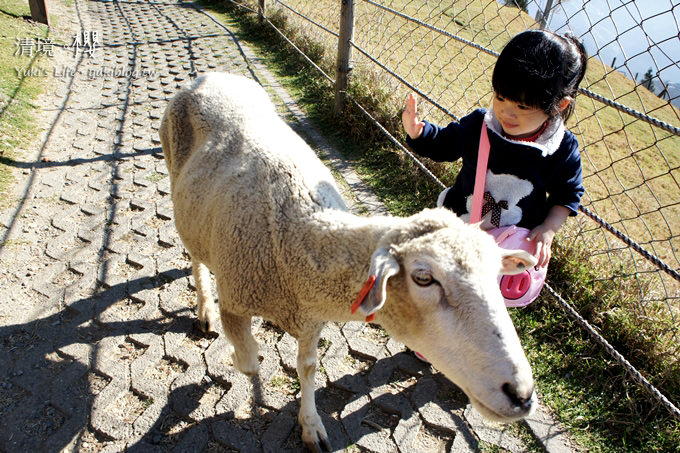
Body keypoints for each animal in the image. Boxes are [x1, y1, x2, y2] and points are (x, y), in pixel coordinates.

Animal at [162, 72, 540, 450]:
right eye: (423, 278)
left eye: (496, 275)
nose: (521, 395)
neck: (296, 235)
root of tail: (212, 75)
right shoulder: (236, 303)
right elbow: (249, 363)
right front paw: (224, 366)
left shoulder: (311, 318)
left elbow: (307, 368)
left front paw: (310, 424)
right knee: (194, 253)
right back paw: (204, 308)